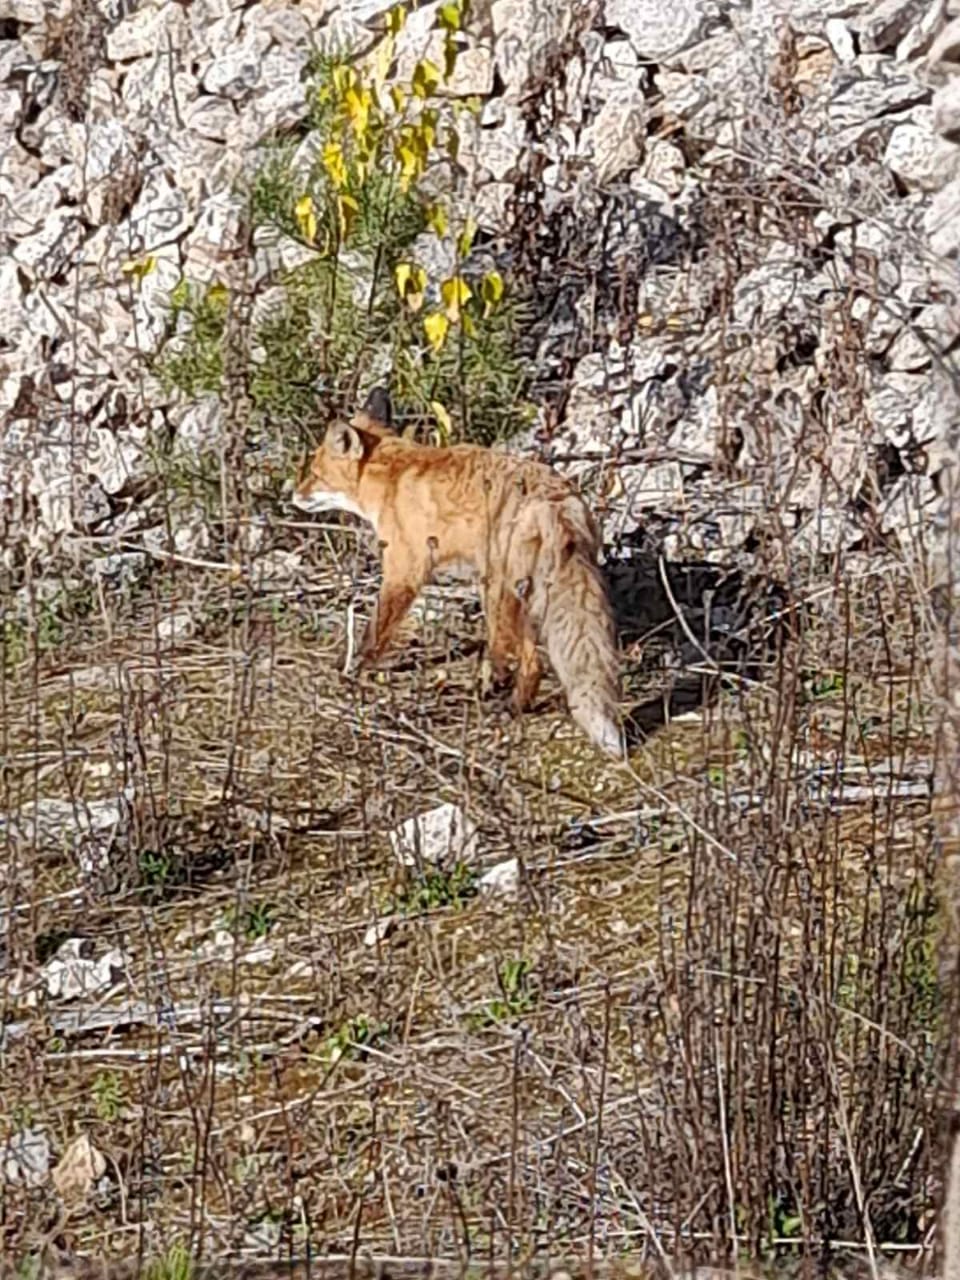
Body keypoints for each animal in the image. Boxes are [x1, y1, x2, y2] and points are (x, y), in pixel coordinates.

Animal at [293, 384, 624, 752]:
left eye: (315, 475)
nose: (292, 495)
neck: (391, 475)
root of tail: (557, 500)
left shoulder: (403, 572)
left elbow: (374, 632)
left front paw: (351, 669)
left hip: (496, 592)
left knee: (519, 658)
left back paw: (493, 697)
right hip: (523, 594)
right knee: (532, 663)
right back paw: (513, 706)